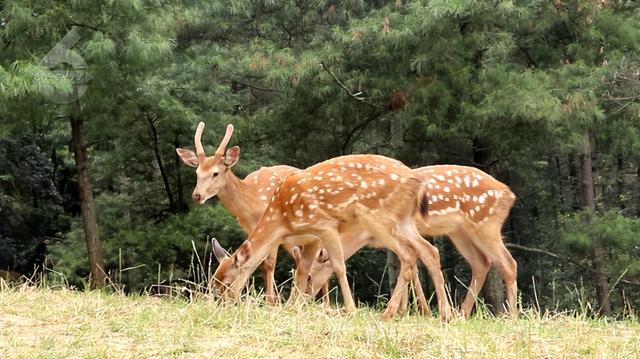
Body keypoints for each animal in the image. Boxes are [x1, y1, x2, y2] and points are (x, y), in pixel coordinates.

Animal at [175, 121, 300, 304]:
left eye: (215, 173)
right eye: (197, 172)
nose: (197, 195)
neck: (255, 204)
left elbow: (270, 263)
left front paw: (271, 302)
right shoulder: (251, 228)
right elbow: (260, 263)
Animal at [210, 155, 450, 320]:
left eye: (228, 283)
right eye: (214, 283)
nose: (222, 306)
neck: (281, 216)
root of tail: (418, 181)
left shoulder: (325, 225)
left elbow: (338, 266)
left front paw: (350, 310)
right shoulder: (311, 237)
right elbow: (301, 270)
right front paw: (292, 307)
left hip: (377, 217)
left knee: (409, 254)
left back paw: (393, 313)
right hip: (403, 221)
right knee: (428, 250)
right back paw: (443, 314)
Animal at [302, 165, 516, 318]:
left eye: (310, 277)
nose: (306, 298)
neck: (362, 234)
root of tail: (509, 194)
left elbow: (413, 267)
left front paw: (413, 311)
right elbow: (408, 267)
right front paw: (406, 310)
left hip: (485, 225)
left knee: (508, 262)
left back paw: (510, 316)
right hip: (459, 232)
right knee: (481, 262)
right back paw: (462, 313)